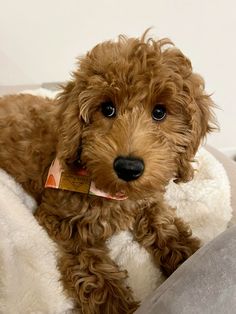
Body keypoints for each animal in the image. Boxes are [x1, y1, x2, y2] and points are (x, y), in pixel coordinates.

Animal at [0, 33, 216, 312]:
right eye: (107, 109)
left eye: (159, 112)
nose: (128, 167)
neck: (114, 192)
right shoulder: (61, 217)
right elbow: (92, 267)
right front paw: (117, 304)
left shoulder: (148, 200)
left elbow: (165, 225)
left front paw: (188, 255)